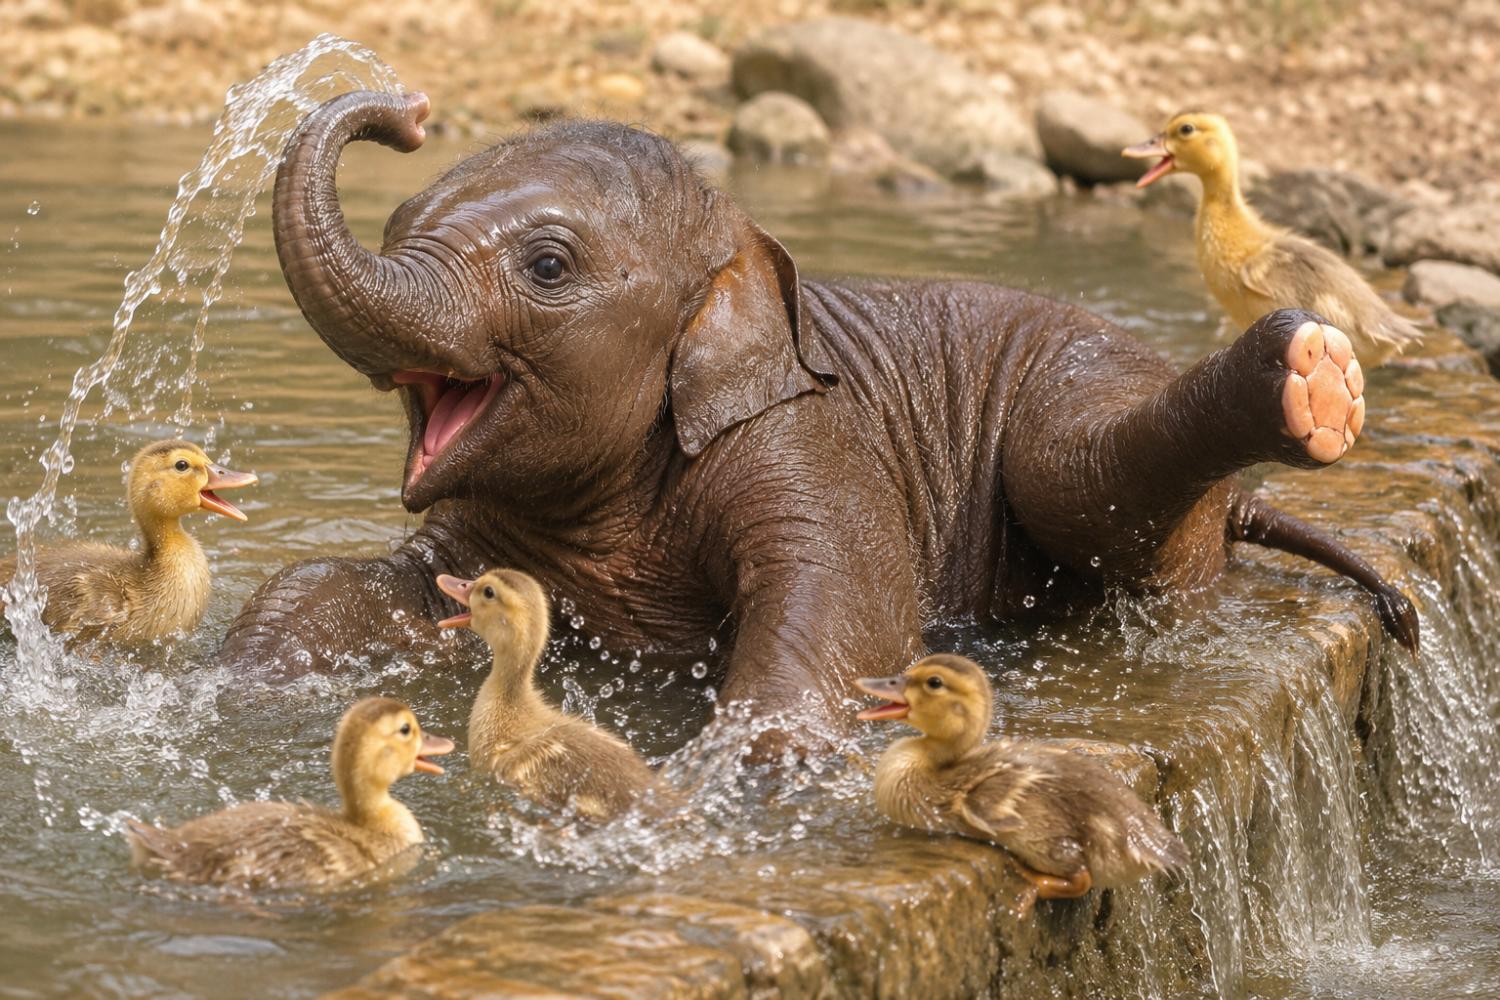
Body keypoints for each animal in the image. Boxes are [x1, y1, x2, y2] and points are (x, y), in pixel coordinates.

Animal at [223, 89, 1417, 735]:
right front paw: (232, 682)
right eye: (398, 224)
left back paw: (1311, 376)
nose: (410, 113)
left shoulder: (807, 436)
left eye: (548, 267)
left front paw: (747, 775)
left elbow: (837, 606)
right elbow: (365, 587)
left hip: (1074, 401)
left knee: (1076, 474)